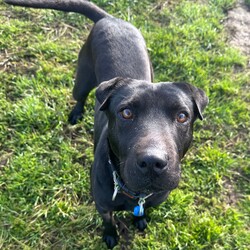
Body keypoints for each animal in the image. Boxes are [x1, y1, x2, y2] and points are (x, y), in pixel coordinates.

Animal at [5, 0, 209, 248]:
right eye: (126, 113)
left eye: (182, 116)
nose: (153, 162)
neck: (135, 193)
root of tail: (110, 18)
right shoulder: (102, 206)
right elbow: (108, 222)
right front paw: (110, 236)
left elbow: (142, 212)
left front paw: (140, 220)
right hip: (82, 79)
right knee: (80, 96)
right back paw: (76, 113)